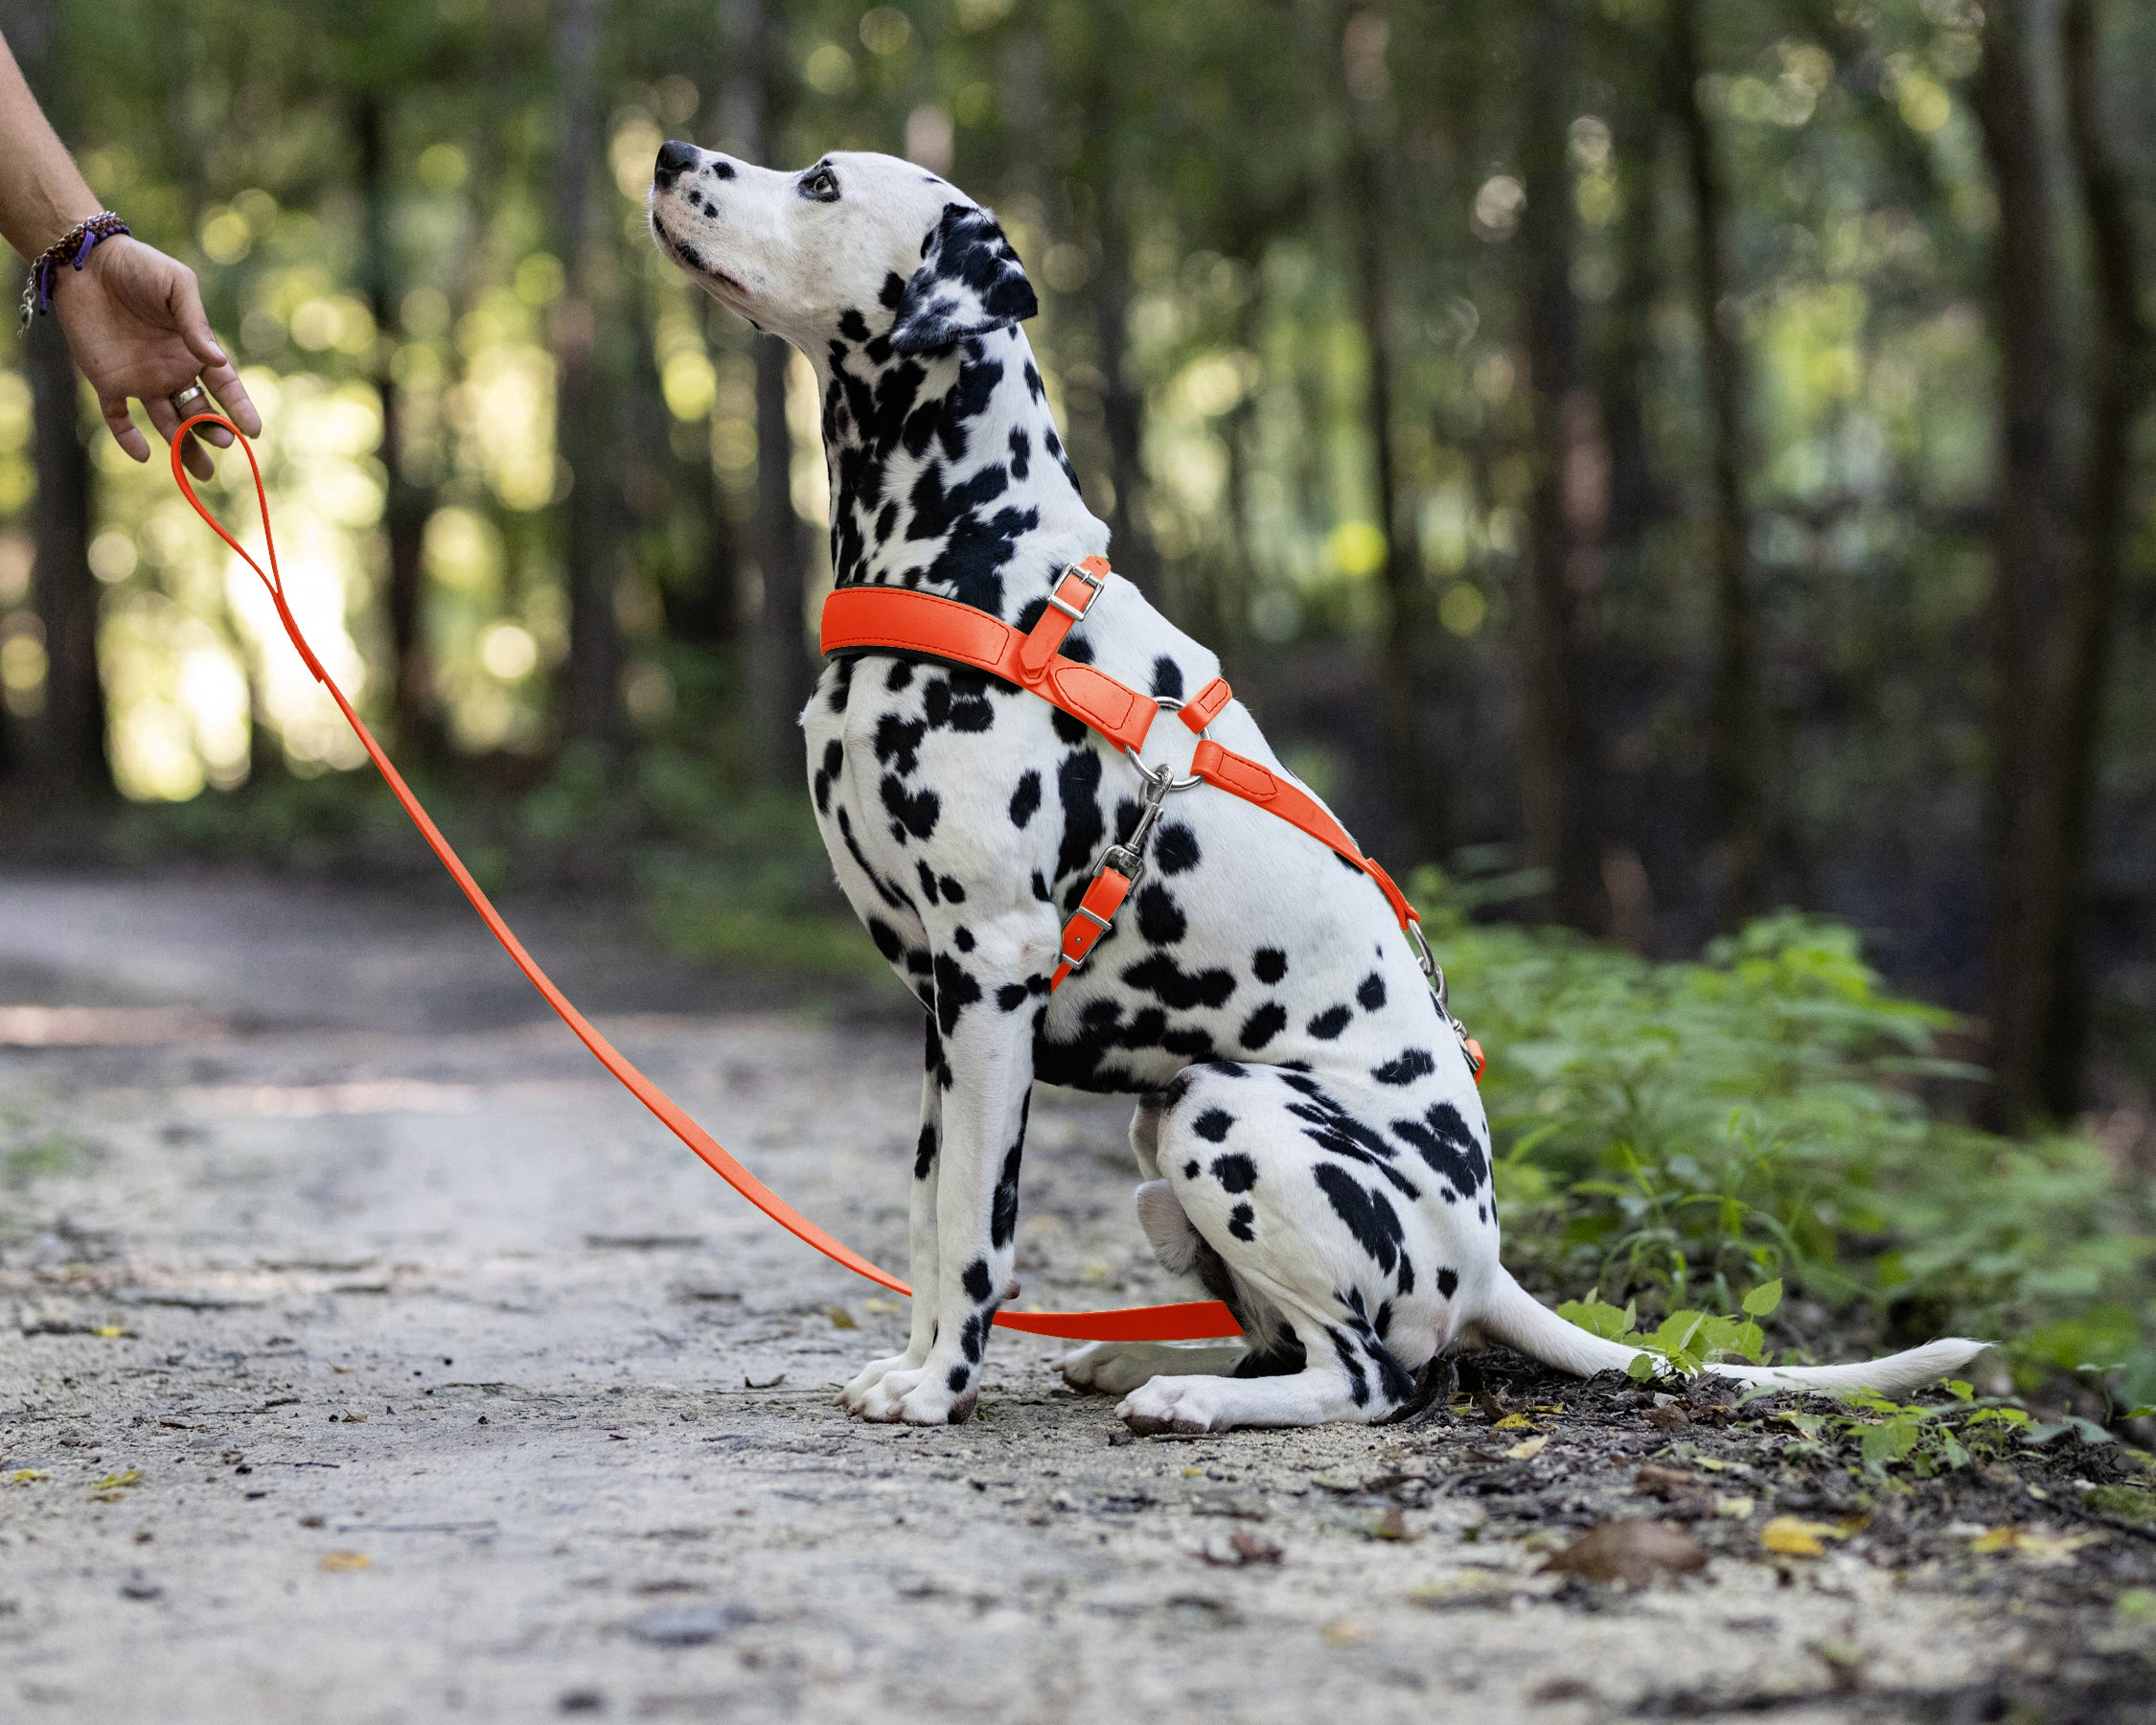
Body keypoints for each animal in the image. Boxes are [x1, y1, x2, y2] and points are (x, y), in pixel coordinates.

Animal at [642, 144, 1984, 1432]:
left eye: (821, 183)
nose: (665, 154)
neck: (980, 561)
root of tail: (1486, 1265)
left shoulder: (992, 972)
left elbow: (978, 1226)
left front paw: (940, 1391)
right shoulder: (942, 1007)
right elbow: (930, 1215)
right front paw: (917, 1366)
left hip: (1225, 1114)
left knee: (1369, 1378)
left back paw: (1186, 1397)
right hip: (1163, 1131)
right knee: (1287, 1340)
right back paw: (1136, 1363)